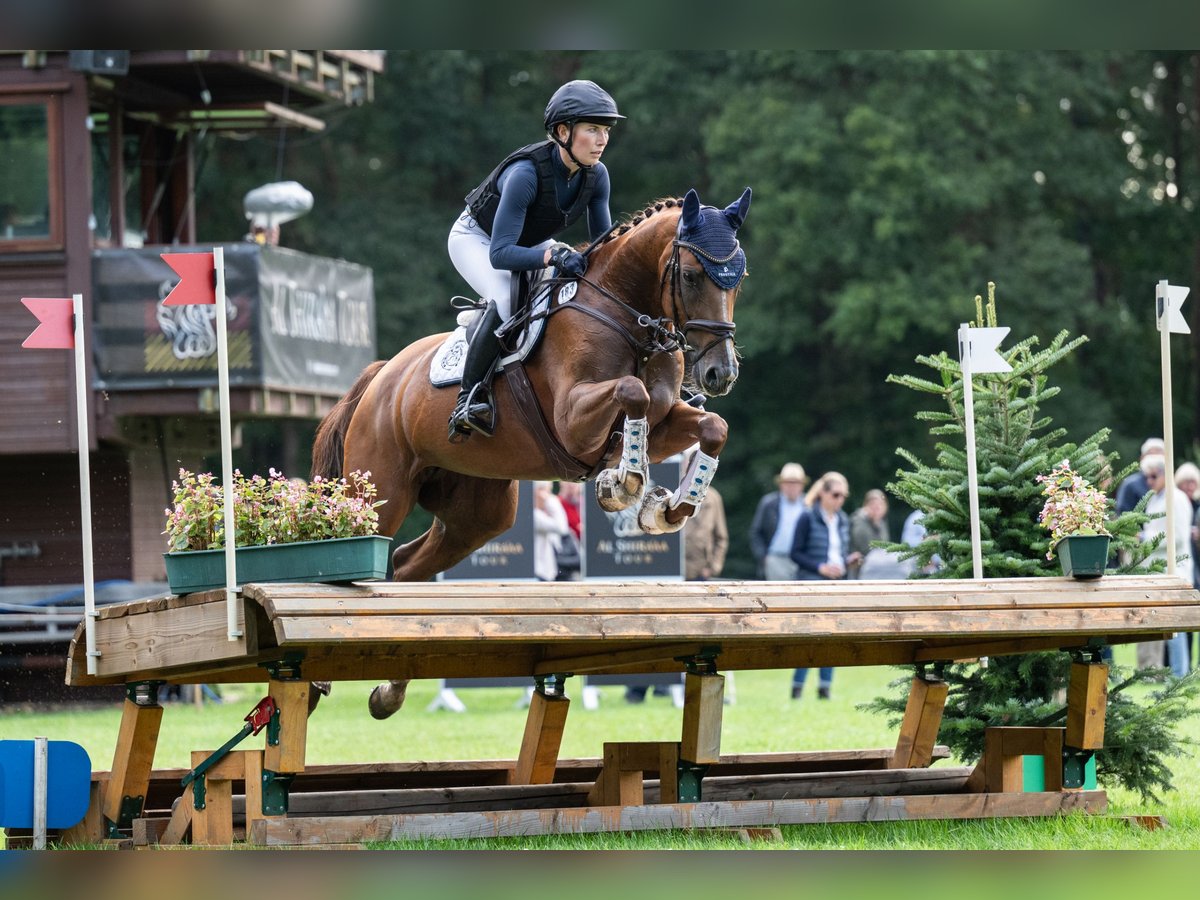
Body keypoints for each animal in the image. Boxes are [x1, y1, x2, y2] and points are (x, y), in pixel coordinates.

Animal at [310, 186, 752, 718]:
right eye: (689, 275)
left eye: (739, 278)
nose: (720, 374)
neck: (625, 315)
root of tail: (381, 378)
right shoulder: (574, 421)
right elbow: (632, 393)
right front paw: (623, 484)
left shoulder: (666, 421)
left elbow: (711, 426)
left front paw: (668, 507)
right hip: (378, 495)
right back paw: (321, 681)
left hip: (480, 513)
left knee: (409, 564)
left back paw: (388, 692)